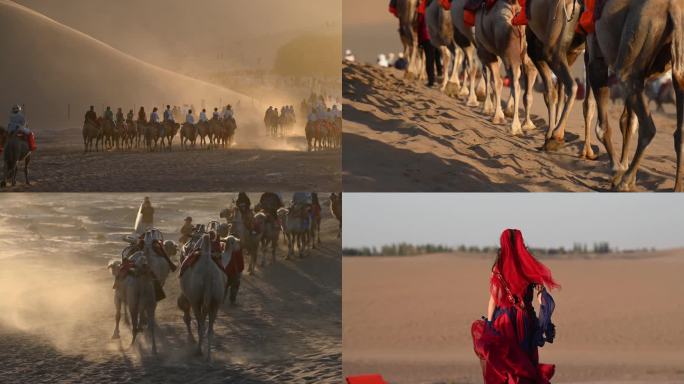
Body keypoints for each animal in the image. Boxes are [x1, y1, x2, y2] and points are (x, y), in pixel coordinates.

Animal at [472, 0, 536, 135]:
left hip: (508, 52)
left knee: (516, 86)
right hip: (528, 51)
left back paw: (515, 127)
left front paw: (496, 115)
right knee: (528, 82)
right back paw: (528, 125)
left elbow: (495, 81)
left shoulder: (485, 51)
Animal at [588, 0, 684, 191]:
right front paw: (621, 169)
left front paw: (617, 171)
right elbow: (628, 121)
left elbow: (605, 126)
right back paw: (677, 187)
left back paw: (624, 182)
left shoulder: (594, 48)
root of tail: (674, 7)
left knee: (648, 127)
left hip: (640, 33)